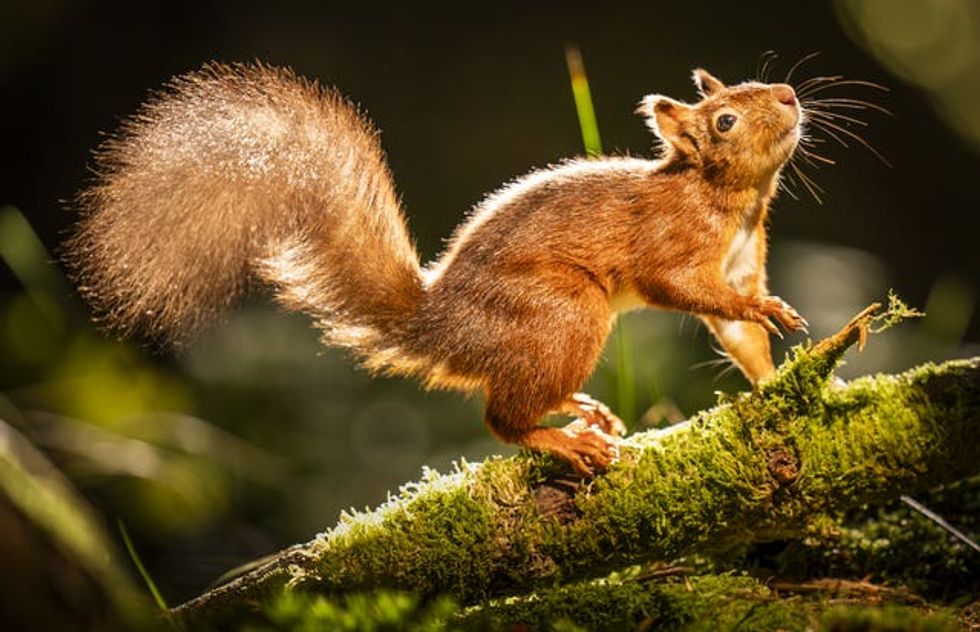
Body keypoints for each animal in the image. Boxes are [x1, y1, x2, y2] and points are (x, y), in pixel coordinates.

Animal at [66, 62, 808, 477]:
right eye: (725, 120)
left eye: (755, 85)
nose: (790, 95)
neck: (730, 199)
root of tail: (441, 326)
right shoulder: (668, 246)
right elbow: (678, 288)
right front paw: (768, 315)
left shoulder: (742, 263)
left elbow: (740, 338)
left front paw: (775, 377)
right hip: (566, 313)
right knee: (501, 419)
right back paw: (560, 439)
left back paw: (581, 409)